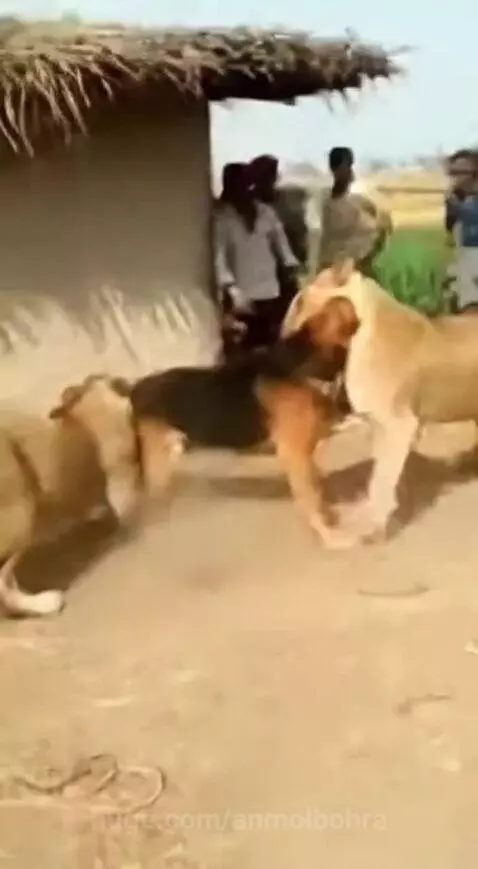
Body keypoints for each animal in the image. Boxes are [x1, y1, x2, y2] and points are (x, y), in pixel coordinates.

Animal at [127, 321, 357, 549]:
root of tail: (136, 387)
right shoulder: (294, 453)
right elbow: (312, 498)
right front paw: (330, 533)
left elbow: (316, 488)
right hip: (157, 459)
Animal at [282, 258, 478, 541]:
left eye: (299, 302)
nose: (282, 332)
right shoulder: (379, 425)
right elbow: (378, 473)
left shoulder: (400, 425)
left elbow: (382, 478)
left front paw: (375, 526)